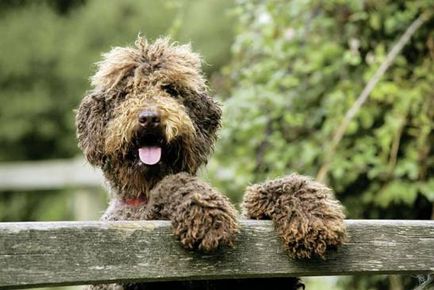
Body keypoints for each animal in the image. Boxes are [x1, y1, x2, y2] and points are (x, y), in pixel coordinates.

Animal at [75, 36, 346, 290]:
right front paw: (206, 213)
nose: (150, 118)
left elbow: (270, 190)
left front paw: (310, 213)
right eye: (125, 93)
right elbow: (174, 184)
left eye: (170, 90)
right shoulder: (135, 260)